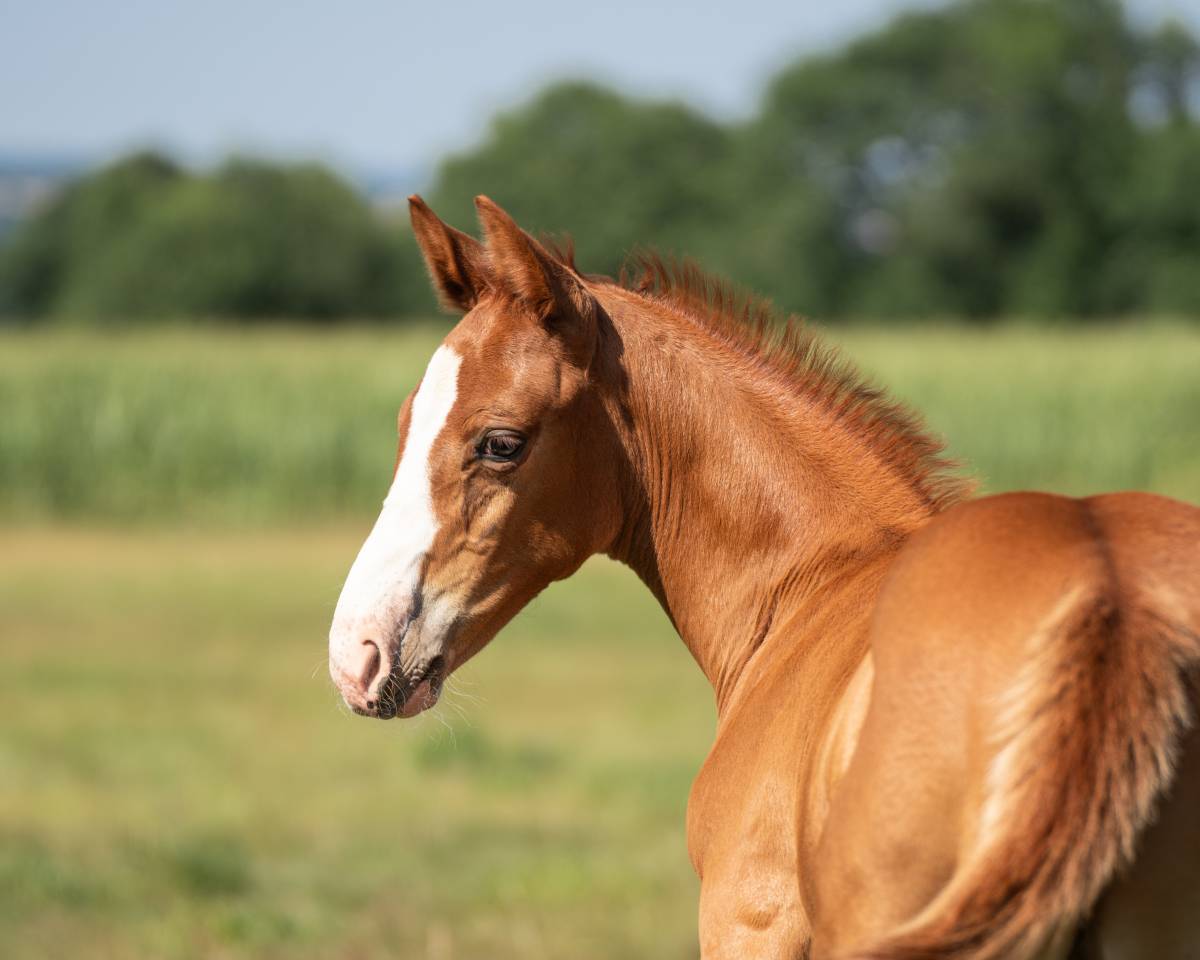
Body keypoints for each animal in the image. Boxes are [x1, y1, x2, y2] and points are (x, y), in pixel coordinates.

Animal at [328, 195, 1200, 959]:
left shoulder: (747, 920)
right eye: (406, 422)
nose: (356, 654)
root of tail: (1108, 604)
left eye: (501, 442)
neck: (810, 583)